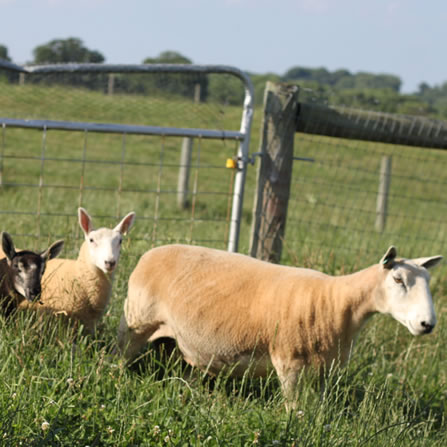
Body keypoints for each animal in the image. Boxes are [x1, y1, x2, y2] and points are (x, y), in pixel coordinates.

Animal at [118, 245, 444, 406]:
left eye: (428, 281)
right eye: (398, 279)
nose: (427, 324)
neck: (336, 303)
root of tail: (150, 252)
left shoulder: (323, 370)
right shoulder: (290, 363)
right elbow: (293, 409)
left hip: (180, 342)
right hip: (137, 321)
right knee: (119, 356)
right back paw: (113, 376)